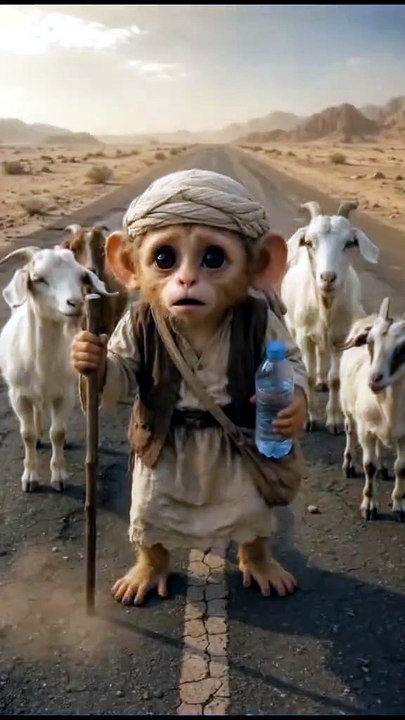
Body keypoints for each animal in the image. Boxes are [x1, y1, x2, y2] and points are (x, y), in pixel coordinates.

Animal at [71, 169, 308, 606]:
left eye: (213, 258)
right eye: (164, 258)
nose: (186, 280)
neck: (197, 323)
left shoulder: (268, 325)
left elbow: (294, 364)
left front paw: (292, 412)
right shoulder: (132, 325)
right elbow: (121, 372)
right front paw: (89, 356)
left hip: (249, 492)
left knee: (255, 523)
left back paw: (261, 564)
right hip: (152, 489)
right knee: (148, 522)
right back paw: (148, 572)